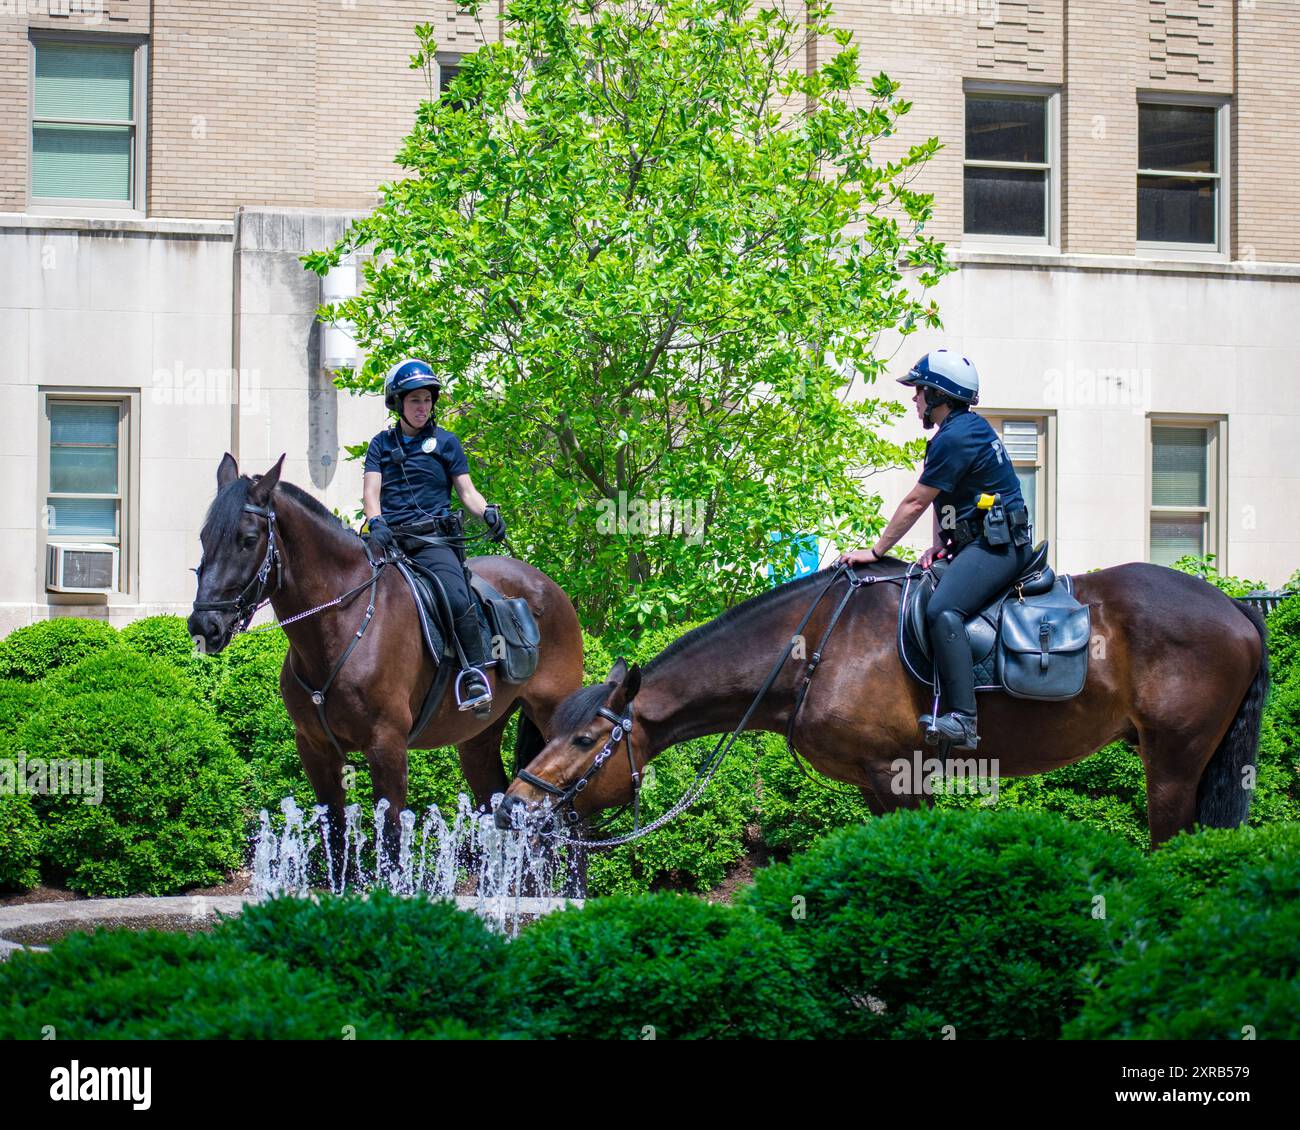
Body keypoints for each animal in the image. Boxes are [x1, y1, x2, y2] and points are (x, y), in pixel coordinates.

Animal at [188, 455, 585, 853]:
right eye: (204, 538)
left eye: (248, 540)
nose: (204, 625)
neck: (342, 621)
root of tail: (550, 588)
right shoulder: (315, 748)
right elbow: (335, 835)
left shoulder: (387, 747)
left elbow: (391, 840)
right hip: (478, 738)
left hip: (556, 725)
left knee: (571, 825)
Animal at [496, 556, 1268, 847]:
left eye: (584, 740)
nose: (512, 805)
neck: (815, 645)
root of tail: (1233, 607)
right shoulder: (887, 785)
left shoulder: (895, 777)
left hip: (1176, 761)